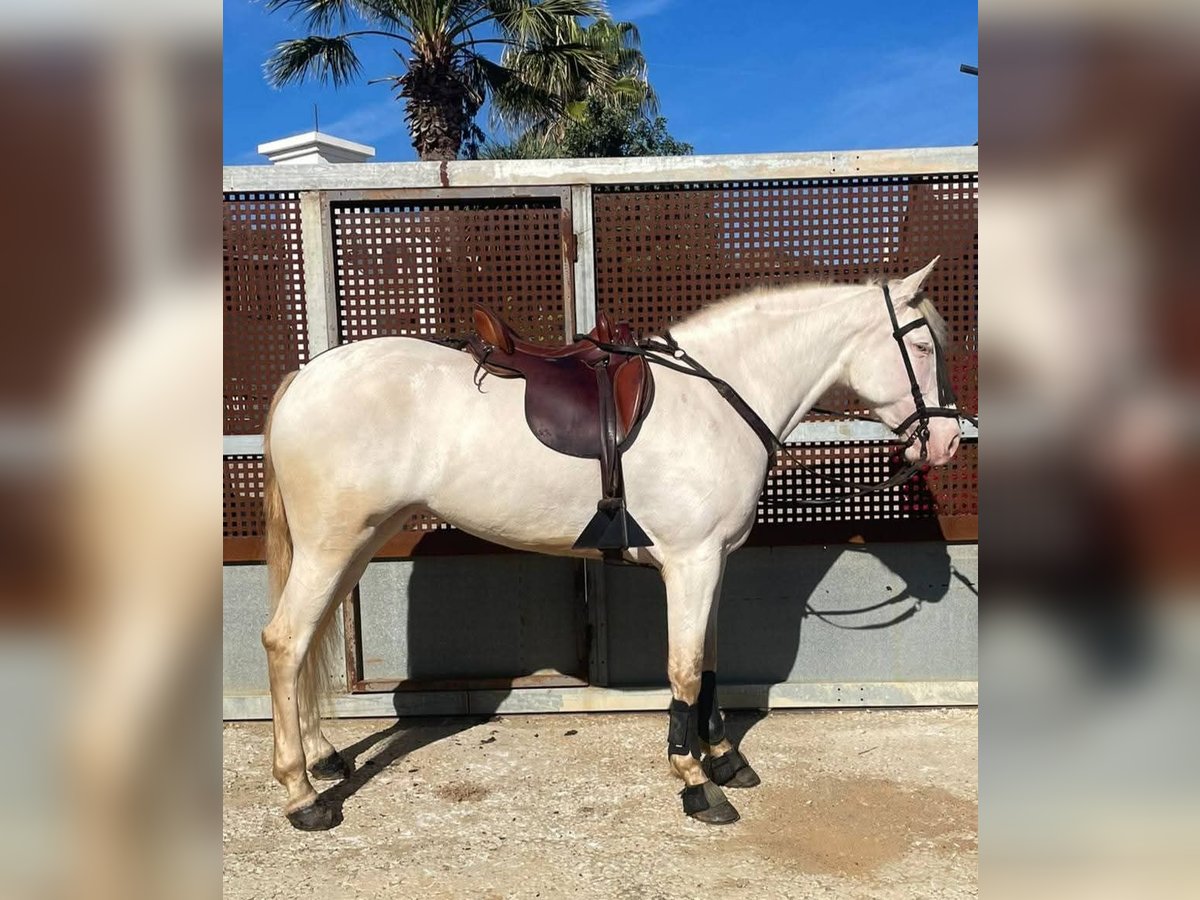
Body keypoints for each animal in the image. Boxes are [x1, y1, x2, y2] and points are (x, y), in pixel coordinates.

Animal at [259, 257, 962, 829]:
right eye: (921, 345)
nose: (948, 441)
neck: (716, 399)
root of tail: (306, 376)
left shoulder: (712, 564)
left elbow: (709, 663)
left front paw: (723, 759)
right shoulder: (690, 563)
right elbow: (684, 669)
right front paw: (695, 783)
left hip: (356, 543)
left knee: (311, 638)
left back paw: (323, 759)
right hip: (331, 545)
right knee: (286, 641)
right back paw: (301, 796)